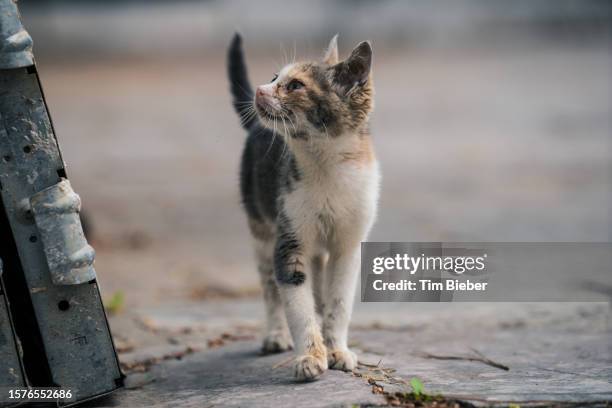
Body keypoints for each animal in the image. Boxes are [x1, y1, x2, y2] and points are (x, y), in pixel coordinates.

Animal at [226, 33, 378, 380]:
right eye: (273, 78)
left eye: (295, 85)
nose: (260, 89)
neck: (325, 167)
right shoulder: (288, 241)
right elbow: (297, 304)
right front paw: (310, 355)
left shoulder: (349, 246)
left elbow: (339, 302)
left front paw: (336, 348)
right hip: (261, 230)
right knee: (270, 290)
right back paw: (275, 335)